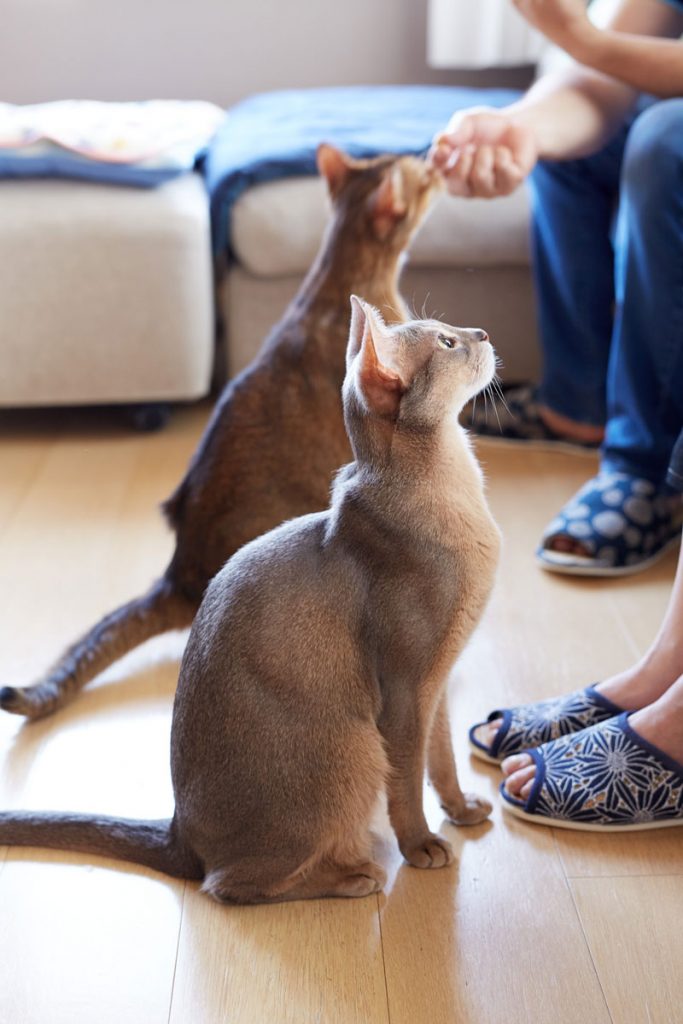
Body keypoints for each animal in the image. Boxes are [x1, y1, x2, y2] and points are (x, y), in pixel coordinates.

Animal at [0, 299, 499, 905]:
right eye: (447, 344)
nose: (483, 332)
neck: (456, 495)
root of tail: (179, 833)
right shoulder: (405, 693)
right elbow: (407, 779)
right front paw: (422, 844)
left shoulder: (438, 681)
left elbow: (442, 758)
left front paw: (461, 809)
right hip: (356, 748)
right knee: (230, 885)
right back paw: (351, 876)